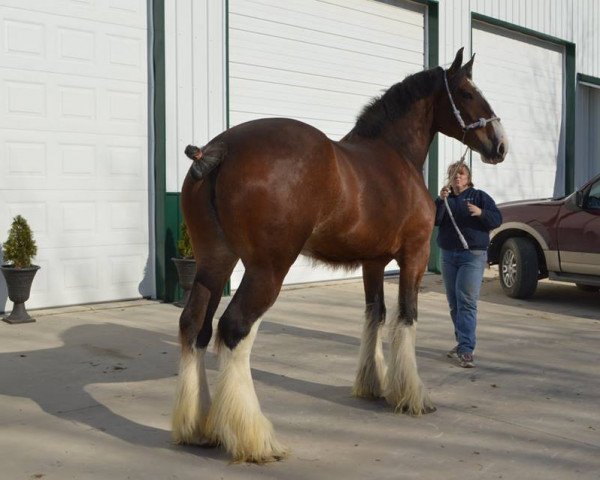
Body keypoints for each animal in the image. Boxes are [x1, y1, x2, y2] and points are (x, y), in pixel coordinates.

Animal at [170, 47, 506, 462]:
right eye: (466, 92)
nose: (500, 145)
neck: (394, 156)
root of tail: (220, 149)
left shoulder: (373, 263)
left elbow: (375, 315)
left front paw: (372, 384)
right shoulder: (413, 254)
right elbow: (406, 317)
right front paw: (412, 395)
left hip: (214, 264)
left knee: (194, 327)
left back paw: (197, 427)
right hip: (267, 270)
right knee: (234, 329)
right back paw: (254, 439)